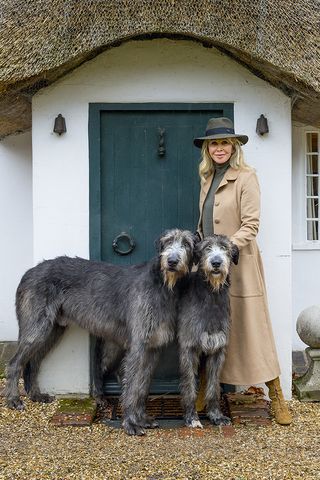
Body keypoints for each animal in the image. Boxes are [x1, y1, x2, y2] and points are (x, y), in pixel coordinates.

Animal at [5, 229, 198, 436]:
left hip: (54, 330)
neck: (163, 284)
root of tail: (28, 272)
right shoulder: (138, 346)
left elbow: (142, 387)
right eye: (167, 241)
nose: (172, 261)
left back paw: (36, 395)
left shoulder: (152, 348)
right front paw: (130, 423)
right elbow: (132, 387)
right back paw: (13, 399)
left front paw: (142, 418)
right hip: (37, 328)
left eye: (187, 244)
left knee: (34, 361)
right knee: (14, 363)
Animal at [179, 234, 239, 430]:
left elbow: (213, 387)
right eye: (207, 248)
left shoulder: (218, 349)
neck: (211, 294)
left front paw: (216, 415)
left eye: (225, 248)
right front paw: (191, 417)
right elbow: (190, 386)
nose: (216, 263)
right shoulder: (188, 348)